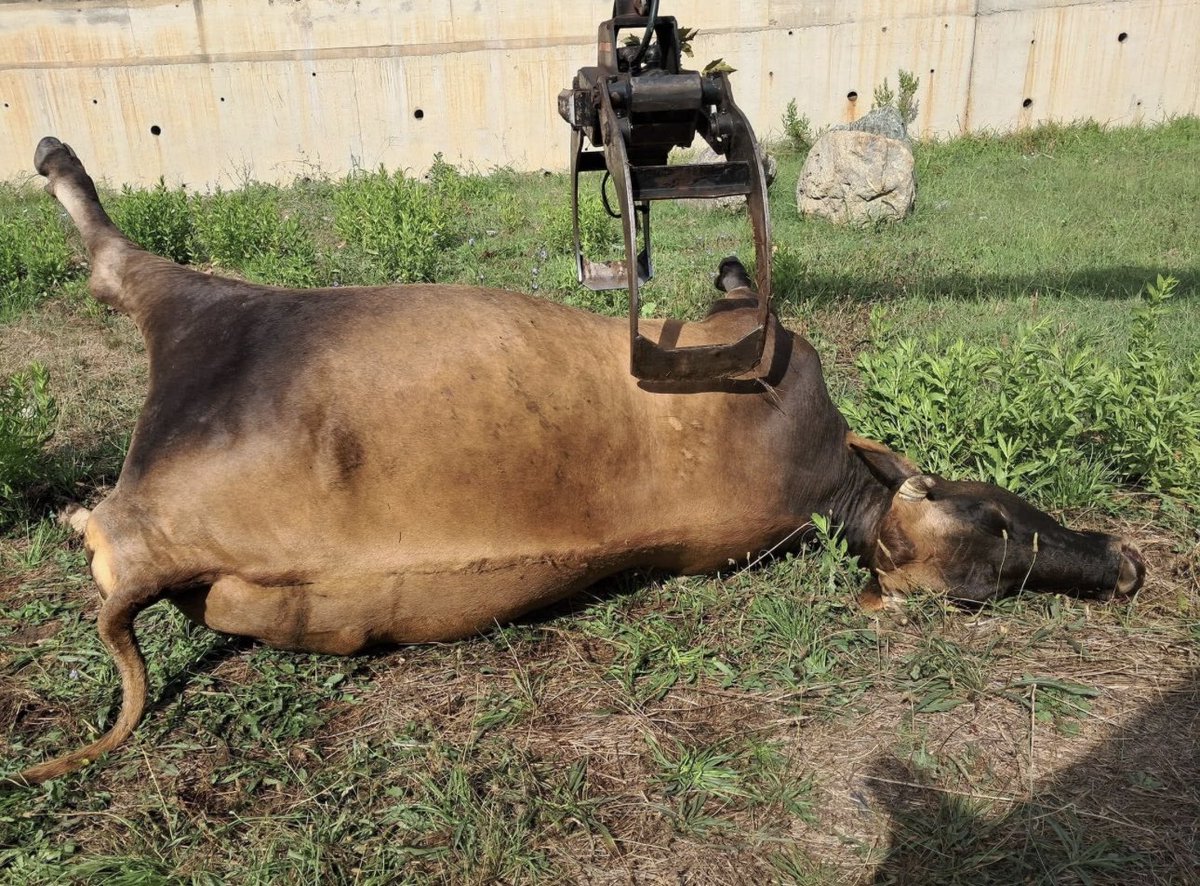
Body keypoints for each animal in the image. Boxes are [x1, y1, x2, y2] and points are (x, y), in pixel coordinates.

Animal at [8, 137, 1146, 786]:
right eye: (995, 517)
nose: (1125, 566)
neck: (829, 489)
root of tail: (150, 544)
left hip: (212, 316)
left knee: (120, 264)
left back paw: (59, 161)